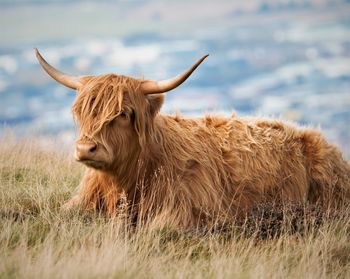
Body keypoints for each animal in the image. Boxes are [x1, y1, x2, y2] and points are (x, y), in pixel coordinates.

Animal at [36, 49, 350, 230]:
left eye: (124, 113)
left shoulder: (192, 209)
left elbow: (158, 228)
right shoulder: (81, 202)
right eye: (82, 112)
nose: (85, 148)